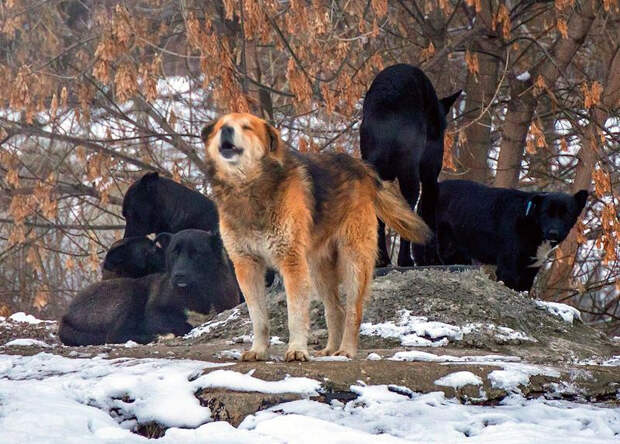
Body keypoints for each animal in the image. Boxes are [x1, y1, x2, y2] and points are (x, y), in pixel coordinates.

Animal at [58, 229, 240, 346]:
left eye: (196, 253)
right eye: (174, 252)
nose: (178, 275)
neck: (197, 292)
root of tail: (66, 316)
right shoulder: (154, 312)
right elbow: (182, 324)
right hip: (130, 295)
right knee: (114, 335)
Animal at [201, 112, 428, 362]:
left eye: (247, 127)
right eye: (221, 126)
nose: (226, 131)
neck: (248, 189)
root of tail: (362, 168)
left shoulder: (291, 263)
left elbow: (295, 316)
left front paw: (297, 350)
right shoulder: (246, 266)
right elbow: (258, 318)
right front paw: (258, 351)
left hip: (353, 262)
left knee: (353, 311)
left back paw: (346, 350)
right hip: (317, 270)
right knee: (335, 310)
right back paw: (330, 349)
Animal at [358, 63, 460, 266]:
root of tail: (388, 103)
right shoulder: (430, 177)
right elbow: (428, 213)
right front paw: (433, 259)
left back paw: (382, 259)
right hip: (410, 173)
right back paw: (405, 259)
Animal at [436, 180, 588, 292]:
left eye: (566, 214)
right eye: (546, 213)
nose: (553, 232)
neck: (530, 222)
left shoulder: (530, 270)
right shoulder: (508, 266)